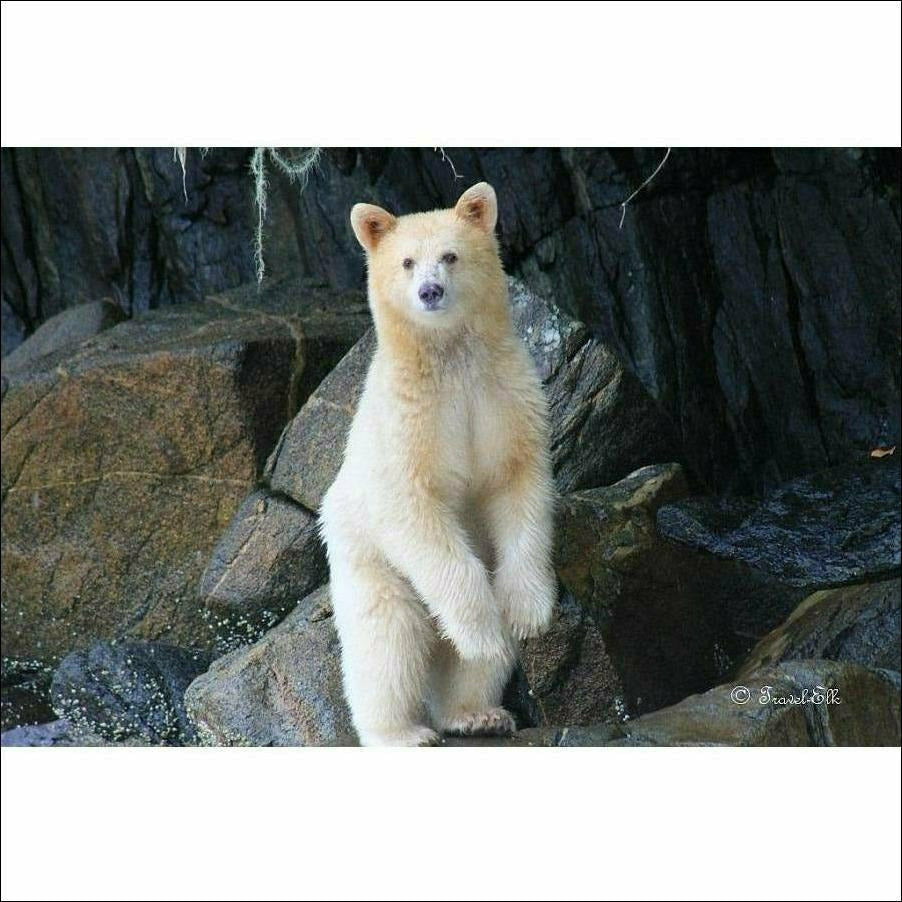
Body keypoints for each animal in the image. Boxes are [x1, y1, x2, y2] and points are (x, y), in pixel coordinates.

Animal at [319, 182, 556, 747]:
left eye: (450, 255)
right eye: (407, 262)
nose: (430, 291)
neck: (450, 357)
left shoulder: (503, 392)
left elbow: (517, 481)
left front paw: (526, 614)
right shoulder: (407, 420)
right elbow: (413, 507)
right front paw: (482, 631)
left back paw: (475, 712)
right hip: (365, 557)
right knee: (388, 637)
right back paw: (400, 732)